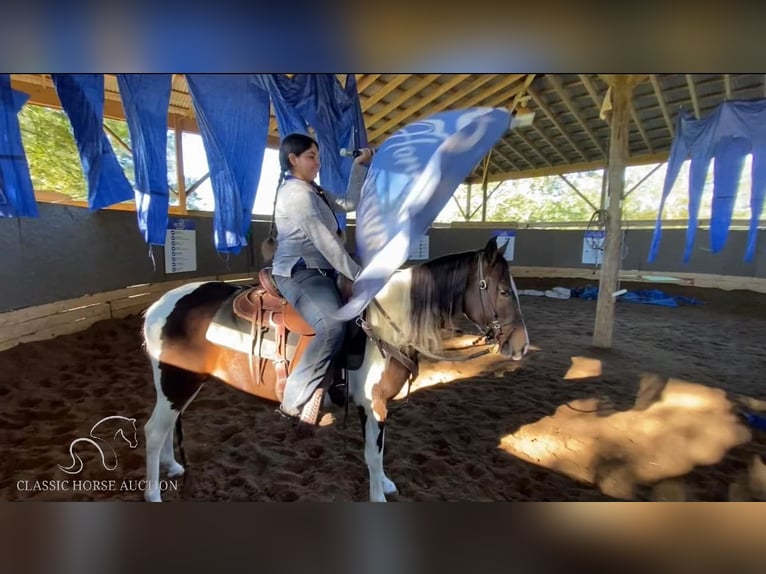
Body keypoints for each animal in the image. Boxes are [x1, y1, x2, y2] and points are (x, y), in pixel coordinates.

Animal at [141, 236, 532, 502]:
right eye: (502, 291)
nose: (522, 345)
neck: (386, 326)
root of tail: (160, 304)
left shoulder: (372, 406)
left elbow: (378, 450)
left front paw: (385, 483)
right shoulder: (374, 405)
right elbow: (372, 454)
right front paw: (378, 494)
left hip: (183, 384)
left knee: (169, 425)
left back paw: (172, 467)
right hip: (176, 382)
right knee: (153, 432)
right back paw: (153, 494)